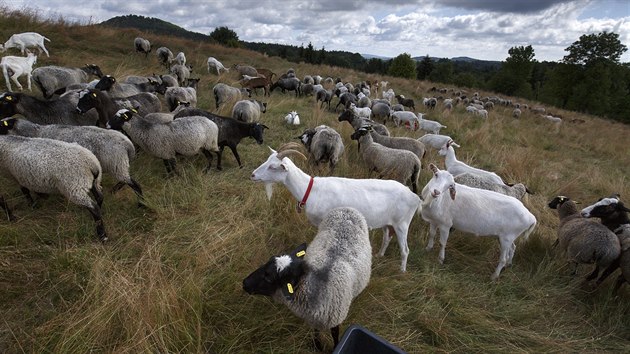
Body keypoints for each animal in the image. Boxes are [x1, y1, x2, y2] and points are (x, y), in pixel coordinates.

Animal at [0, 117, 144, 203]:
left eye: (1, 125)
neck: (35, 132)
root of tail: (127, 143)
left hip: (116, 164)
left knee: (132, 182)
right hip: (120, 164)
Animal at [241, 207, 370, 348]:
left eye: (269, 278)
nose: (244, 283)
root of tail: (348, 208)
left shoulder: (335, 320)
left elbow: (335, 336)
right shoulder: (314, 319)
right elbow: (316, 330)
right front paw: (317, 344)